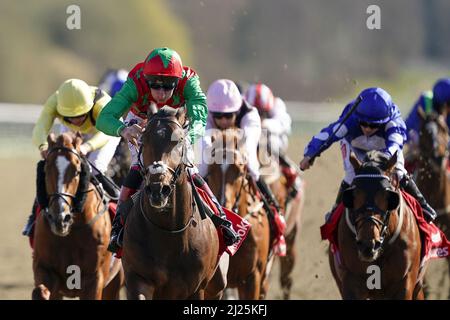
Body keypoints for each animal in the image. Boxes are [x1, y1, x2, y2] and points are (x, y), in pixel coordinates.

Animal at [31, 132, 124, 300]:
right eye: (46, 170)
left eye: (76, 171)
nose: (60, 219)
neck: (72, 231)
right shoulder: (44, 269)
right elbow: (40, 291)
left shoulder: (95, 279)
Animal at [122, 107, 224, 300]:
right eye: (143, 139)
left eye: (180, 140)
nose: (158, 189)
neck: (169, 234)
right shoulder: (138, 278)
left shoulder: (196, 289)